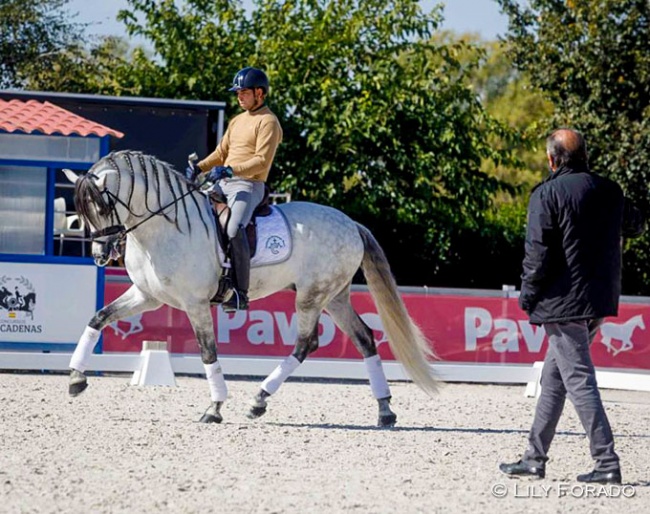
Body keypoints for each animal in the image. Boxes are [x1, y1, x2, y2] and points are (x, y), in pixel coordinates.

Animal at [63, 148, 438, 424]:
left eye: (102, 206)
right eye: (82, 211)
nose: (101, 255)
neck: (162, 229)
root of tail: (351, 223)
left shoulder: (195, 304)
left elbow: (208, 352)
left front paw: (214, 408)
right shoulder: (147, 296)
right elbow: (98, 318)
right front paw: (76, 379)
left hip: (311, 297)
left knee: (306, 344)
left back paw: (259, 399)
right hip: (335, 297)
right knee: (364, 338)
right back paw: (385, 409)